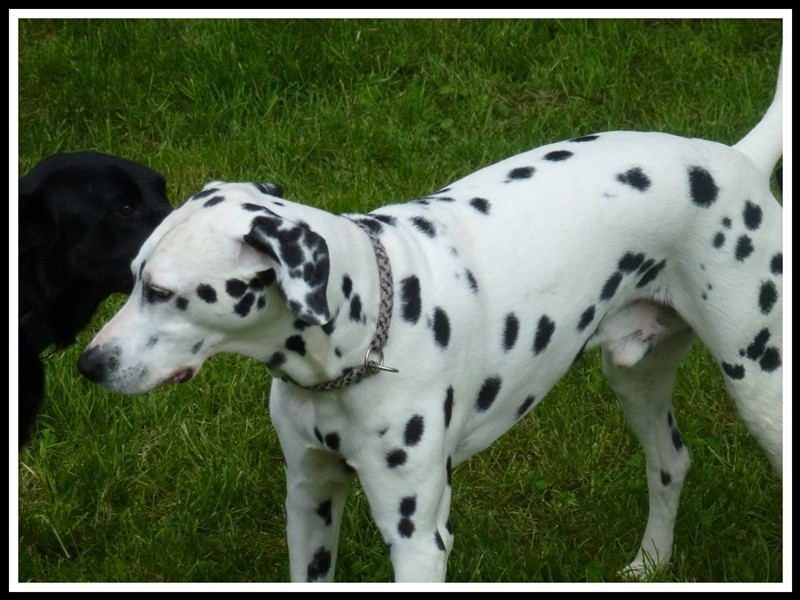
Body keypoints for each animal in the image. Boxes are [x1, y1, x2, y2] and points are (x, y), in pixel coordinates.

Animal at [76, 54, 780, 584]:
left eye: (163, 292)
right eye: (132, 277)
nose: (87, 363)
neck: (362, 338)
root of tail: (737, 158)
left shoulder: (417, 535)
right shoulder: (309, 500)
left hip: (759, 385)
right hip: (635, 377)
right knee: (671, 462)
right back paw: (651, 562)